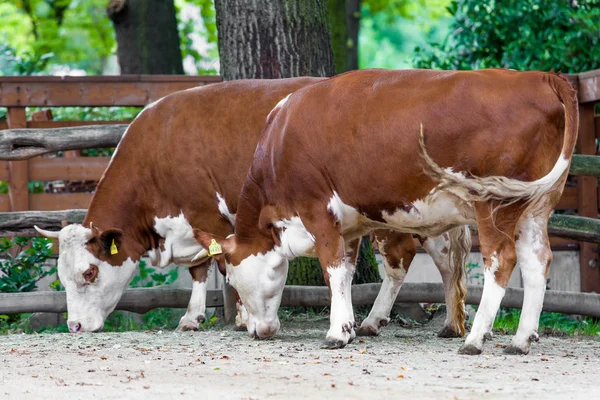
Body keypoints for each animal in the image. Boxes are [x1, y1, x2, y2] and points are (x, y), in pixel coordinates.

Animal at [32, 76, 466, 336]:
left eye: (89, 272)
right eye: (62, 277)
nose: (73, 326)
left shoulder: (209, 215)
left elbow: (222, 265)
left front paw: (241, 318)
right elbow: (200, 268)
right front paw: (193, 316)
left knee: (402, 261)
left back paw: (376, 320)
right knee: (445, 261)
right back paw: (451, 322)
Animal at [195, 69, 580, 354]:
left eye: (231, 279)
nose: (256, 331)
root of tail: (540, 77)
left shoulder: (317, 211)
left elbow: (332, 269)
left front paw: (336, 333)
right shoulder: (348, 226)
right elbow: (346, 273)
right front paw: (349, 326)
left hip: (494, 204)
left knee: (501, 259)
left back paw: (474, 339)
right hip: (534, 207)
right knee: (537, 261)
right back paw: (520, 339)